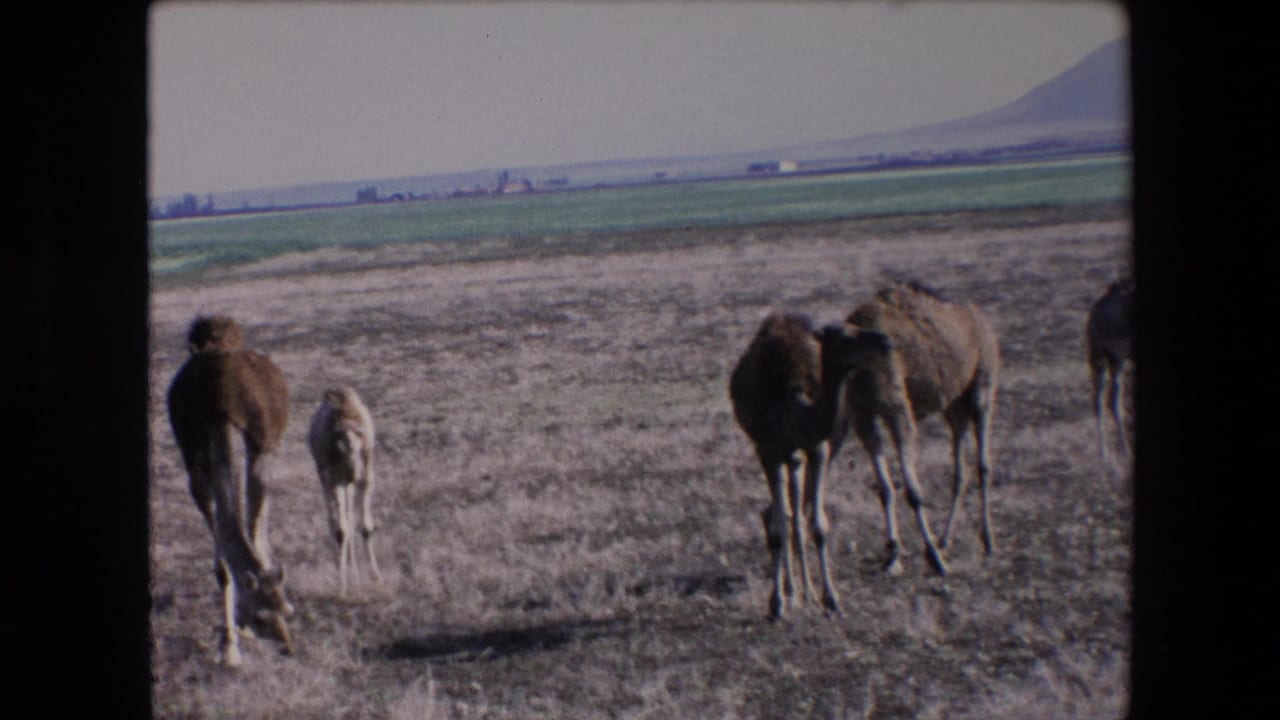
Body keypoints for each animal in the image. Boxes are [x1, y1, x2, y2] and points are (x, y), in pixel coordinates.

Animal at [166, 315, 295, 667]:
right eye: (261, 617)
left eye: (288, 609)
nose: (288, 646)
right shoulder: (196, 469)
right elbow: (223, 566)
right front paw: (229, 647)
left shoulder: (262, 447)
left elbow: (256, 533)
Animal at [308, 386, 383, 596]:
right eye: (344, 450)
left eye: (359, 450)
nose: (354, 472)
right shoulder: (334, 479)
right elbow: (341, 530)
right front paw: (342, 585)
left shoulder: (366, 479)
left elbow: (366, 527)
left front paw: (376, 576)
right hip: (326, 477)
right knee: (335, 520)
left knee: (347, 517)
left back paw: (354, 572)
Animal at [833, 281, 1001, 575]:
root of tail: (981, 319)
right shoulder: (864, 418)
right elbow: (885, 489)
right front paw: (893, 555)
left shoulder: (897, 410)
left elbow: (912, 491)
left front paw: (932, 557)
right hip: (953, 403)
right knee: (960, 466)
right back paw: (945, 540)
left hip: (983, 385)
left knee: (983, 463)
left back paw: (987, 541)